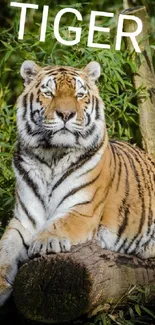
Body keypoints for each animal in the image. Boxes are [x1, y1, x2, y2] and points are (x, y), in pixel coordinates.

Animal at [0, 59, 155, 306]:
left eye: (80, 94)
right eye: (49, 92)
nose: (66, 114)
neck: (51, 156)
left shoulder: (83, 210)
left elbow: (59, 223)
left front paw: (45, 242)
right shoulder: (23, 220)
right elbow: (5, 250)